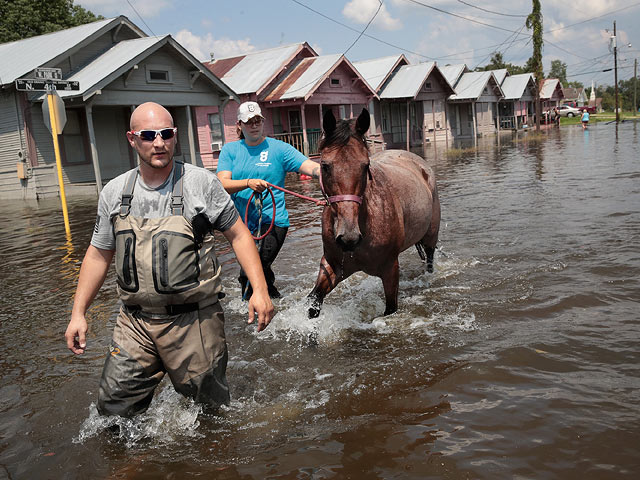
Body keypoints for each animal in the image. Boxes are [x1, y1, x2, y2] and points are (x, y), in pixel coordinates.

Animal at [308, 109, 440, 318]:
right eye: (325, 166)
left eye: (365, 165)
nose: (349, 238)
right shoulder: (333, 265)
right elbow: (314, 302)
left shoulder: (390, 269)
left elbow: (390, 308)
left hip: (430, 238)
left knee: (429, 261)